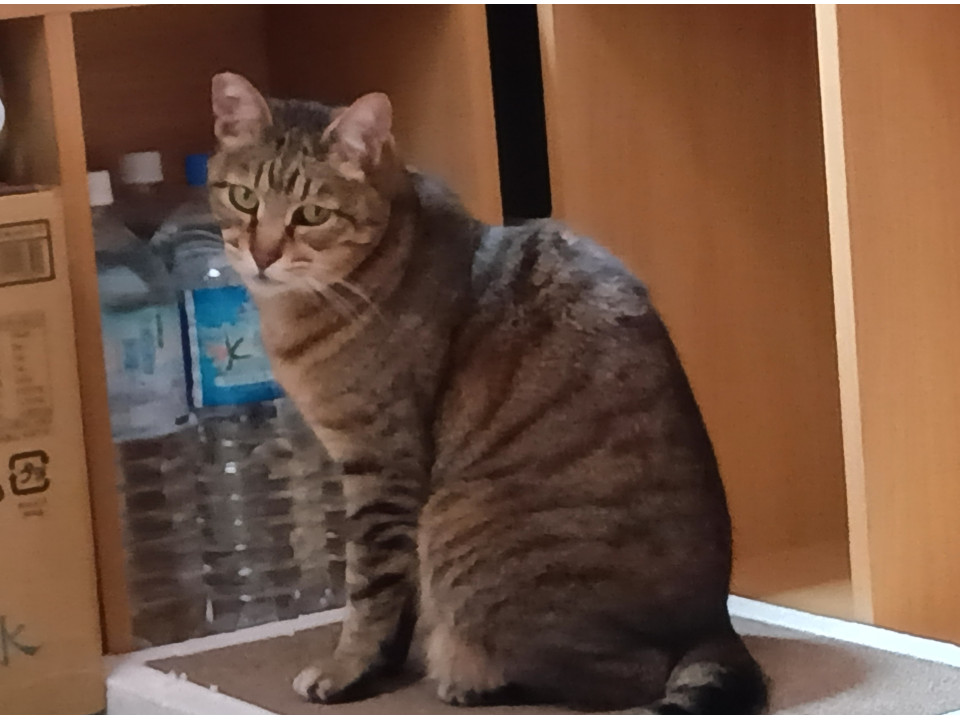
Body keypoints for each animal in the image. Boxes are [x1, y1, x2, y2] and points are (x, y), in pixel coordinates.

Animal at [207, 71, 767, 714]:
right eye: (243, 198)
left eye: (313, 213)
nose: (263, 255)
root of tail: (715, 622)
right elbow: (398, 599)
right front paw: (382, 666)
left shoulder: (383, 468)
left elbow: (370, 590)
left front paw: (346, 670)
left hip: (459, 530)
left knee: (629, 677)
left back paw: (472, 677)